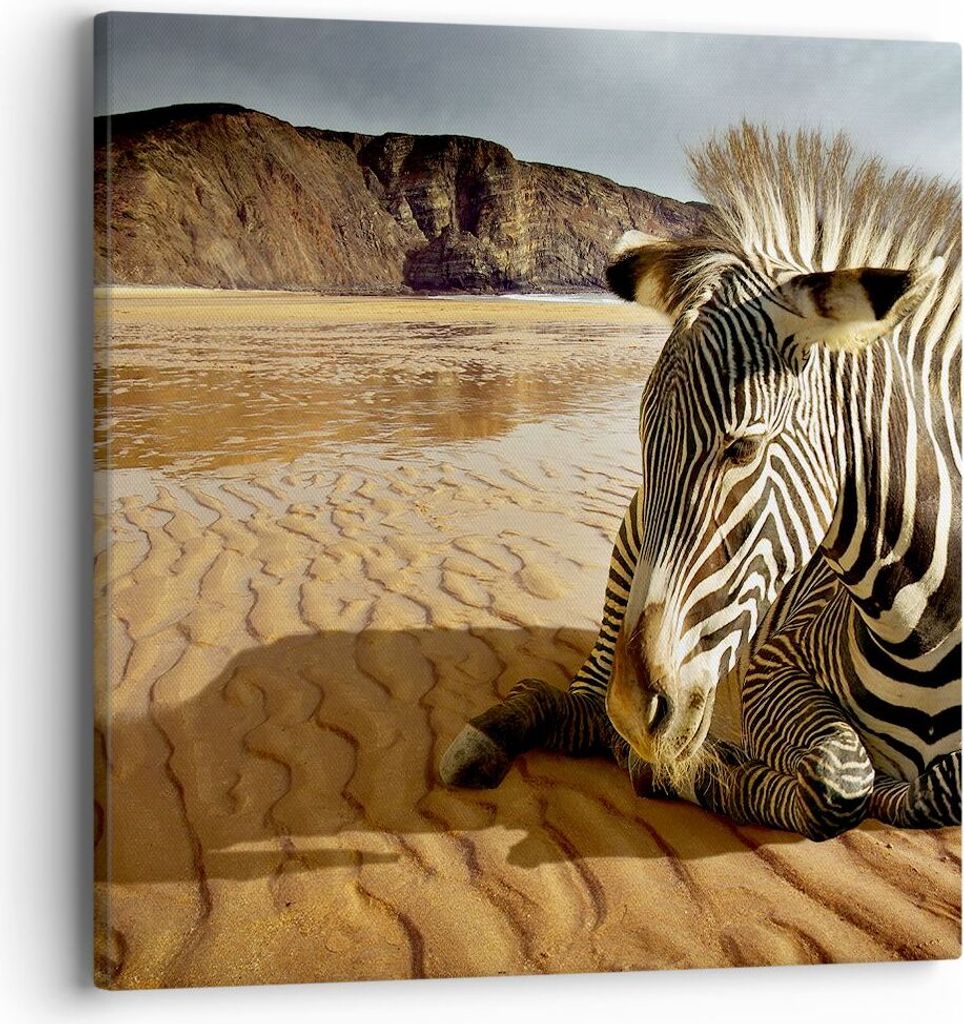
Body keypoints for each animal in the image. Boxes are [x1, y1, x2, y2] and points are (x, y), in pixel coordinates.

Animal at [439, 124, 961, 839]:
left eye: (743, 448)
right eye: (643, 440)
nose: (636, 713)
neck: (925, 630)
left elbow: (927, 786)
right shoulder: (776, 664)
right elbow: (840, 780)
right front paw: (698, 770)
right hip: (628, 559)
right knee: (583, 707)